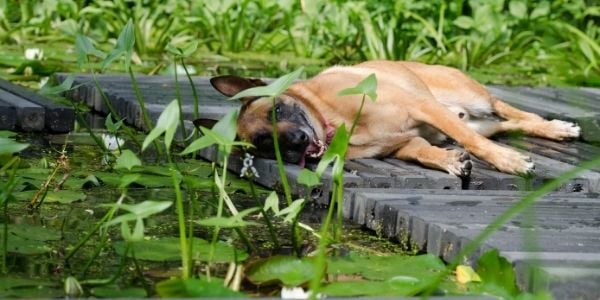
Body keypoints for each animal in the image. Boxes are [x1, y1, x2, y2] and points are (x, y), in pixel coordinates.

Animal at [207, 60, 580, 176]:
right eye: (263, 142)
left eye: (278, 110)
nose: (297, 142)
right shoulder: (402, 144)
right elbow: (422, 151)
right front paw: (449, 161)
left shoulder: (422, 107)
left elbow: (473, 143)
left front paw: (509, 162)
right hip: (479, 119)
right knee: (506, 124)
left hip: (475, 98)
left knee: (509, 111)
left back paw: (557, 127)